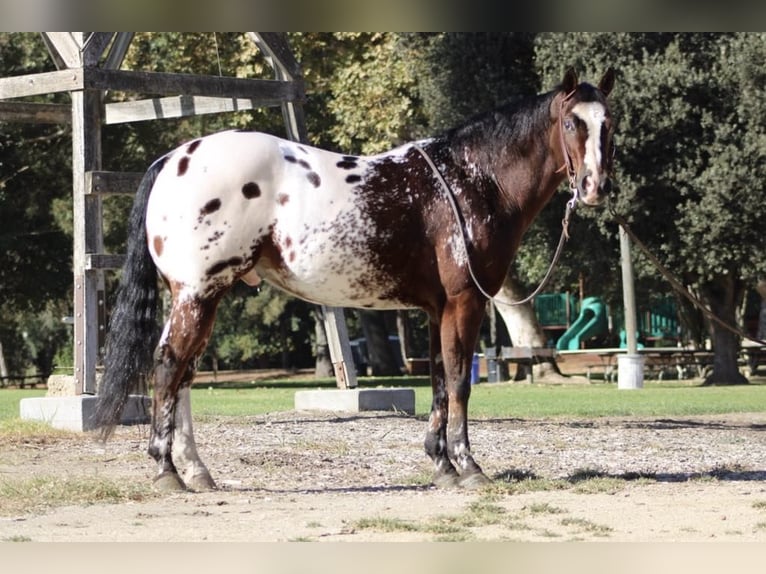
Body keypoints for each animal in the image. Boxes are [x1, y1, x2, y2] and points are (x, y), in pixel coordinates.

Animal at [93, 67, 616, 491]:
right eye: (572, 123)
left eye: (608, 124)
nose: (595, 188)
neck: (470, 179)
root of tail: (173, 158)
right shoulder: (466, 302)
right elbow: (459, 382)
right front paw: (468, 468)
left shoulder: (436, 311)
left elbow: (438, 382)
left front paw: (441, 465)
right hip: (199, 295)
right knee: (168, 367)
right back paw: (166, 472)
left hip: (202, 297)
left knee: (183, 374)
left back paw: (196, 472)